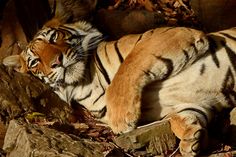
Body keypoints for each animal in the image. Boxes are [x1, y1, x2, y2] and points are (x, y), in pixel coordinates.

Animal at [2, 19, 236, 156]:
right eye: (35, 62)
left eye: (53, 37)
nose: (56, 62)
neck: (84, 83)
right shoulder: (189, 102)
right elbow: (178, 117)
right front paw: (191, 139)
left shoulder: (170, 34)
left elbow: (128, 67)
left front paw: (121, 119)